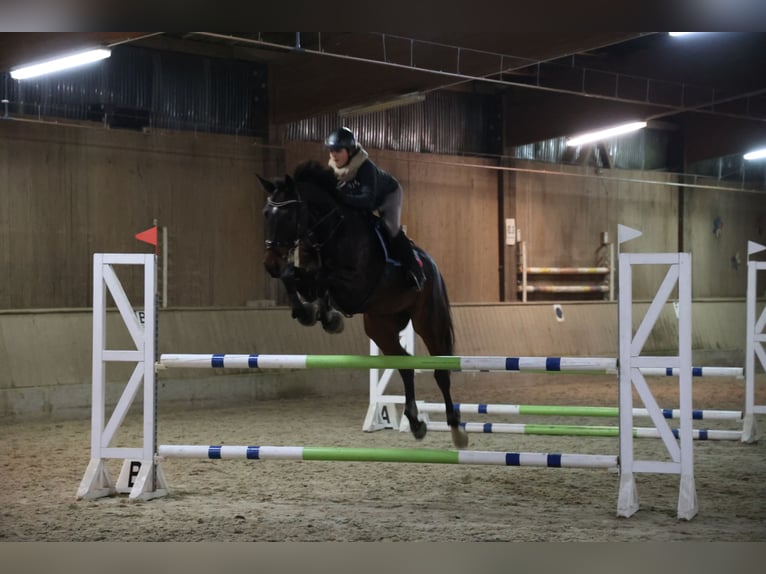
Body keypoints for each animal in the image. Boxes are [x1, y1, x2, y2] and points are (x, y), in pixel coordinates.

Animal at [260, 161, 472, 450]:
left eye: (288, 216)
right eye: (266, 214)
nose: (270, 264)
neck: (331, 231)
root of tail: (432, 265)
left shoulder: (354, 286)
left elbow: (315, 276)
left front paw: (322, 315)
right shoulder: (313, 278)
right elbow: (294, 276)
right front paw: (313, 314)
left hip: (429, 321)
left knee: (441, 371)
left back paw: (456, 430)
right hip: (380, 327)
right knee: (405, 364)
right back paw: (415, 422)